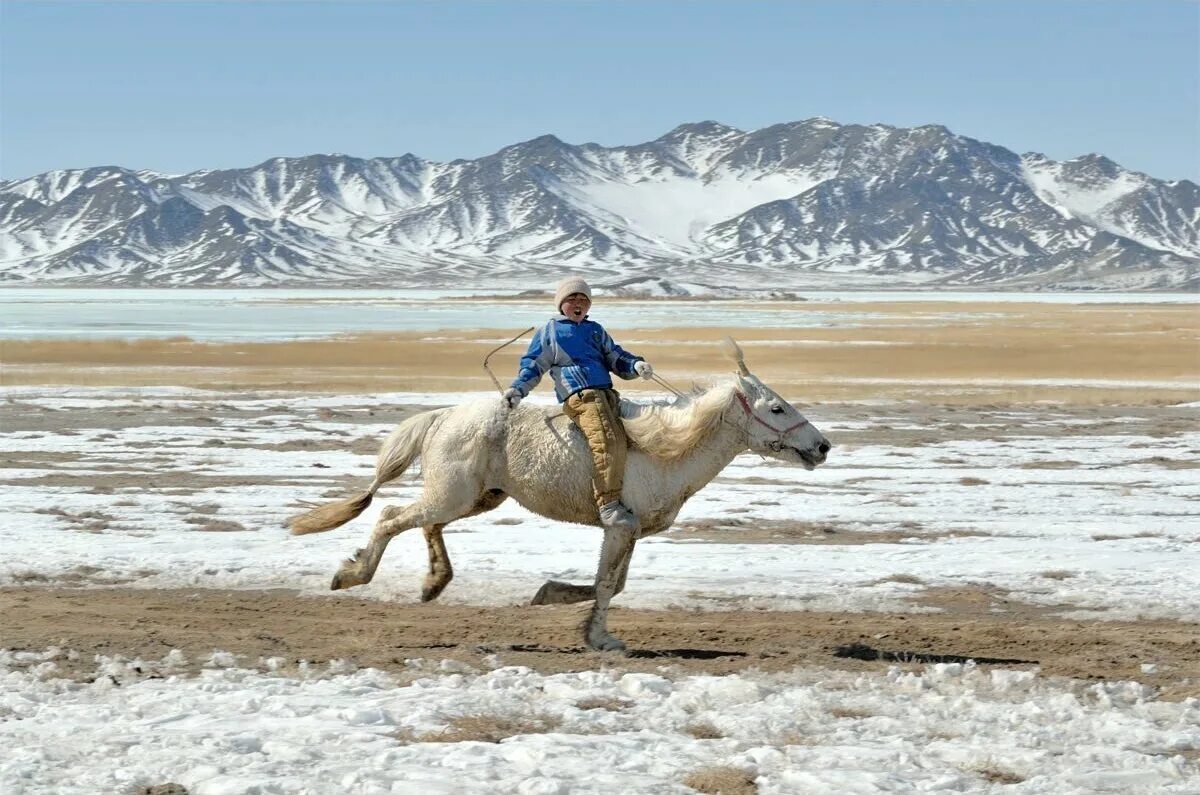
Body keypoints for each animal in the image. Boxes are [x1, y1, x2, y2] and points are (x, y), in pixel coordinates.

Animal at [295, 343, 830, 653]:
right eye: (776, 408)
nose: (822, 446)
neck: (667, 449)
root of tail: (443, 416)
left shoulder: (629, 531)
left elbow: (611, 584)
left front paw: (554, 598)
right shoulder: (619, 525)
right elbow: (606, 585)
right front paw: (598, 637)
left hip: (476, 497)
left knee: (426, 524)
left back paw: (433, 583)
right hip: (451, 496)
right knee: (390, 516)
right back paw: (352, 575)